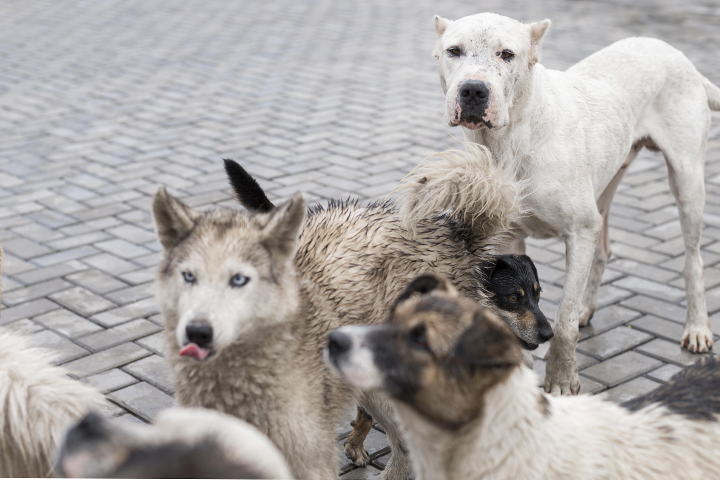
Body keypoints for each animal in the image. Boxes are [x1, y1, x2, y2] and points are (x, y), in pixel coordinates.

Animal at [430, 12, 720, 394]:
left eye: (507, 54)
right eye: (454, 51)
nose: (474, 90)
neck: (511, 141)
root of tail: (682, 58)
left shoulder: (580, 231)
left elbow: (563, 321)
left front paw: (561, 379)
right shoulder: (509, 239)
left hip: (687, 181)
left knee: (693, 260)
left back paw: (697, 327)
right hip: (606, 184)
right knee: (603, 250)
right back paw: (587, 306)